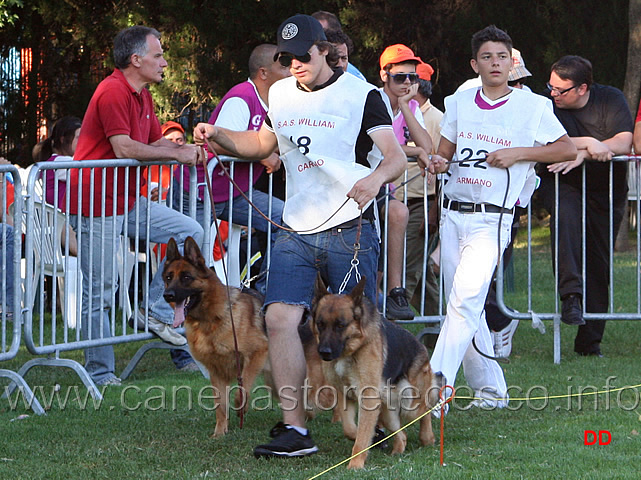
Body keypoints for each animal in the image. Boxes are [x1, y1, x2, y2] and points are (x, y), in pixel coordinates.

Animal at [164, 236, 268, 438]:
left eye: (186, 277)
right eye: (168, 278)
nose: (167, 295)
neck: (210, 319)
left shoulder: (257, 353)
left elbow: (242, 388)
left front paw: (240, 407)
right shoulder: (216, 372)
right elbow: (220, 405)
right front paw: (220, 433)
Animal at [308, 274, 440, 468]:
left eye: (341, 325)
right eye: (320, 324)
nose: (324, 352)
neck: (351, 351)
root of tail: (422, 347)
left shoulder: (368, 398)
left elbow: (361, 435)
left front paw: (355, 464)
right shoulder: (344, 395)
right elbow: (351, 430)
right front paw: (370, 439)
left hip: (410, 404)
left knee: (426, 409)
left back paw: (427, 438)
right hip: (387, 412)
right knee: (402, 434)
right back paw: (397, 449)